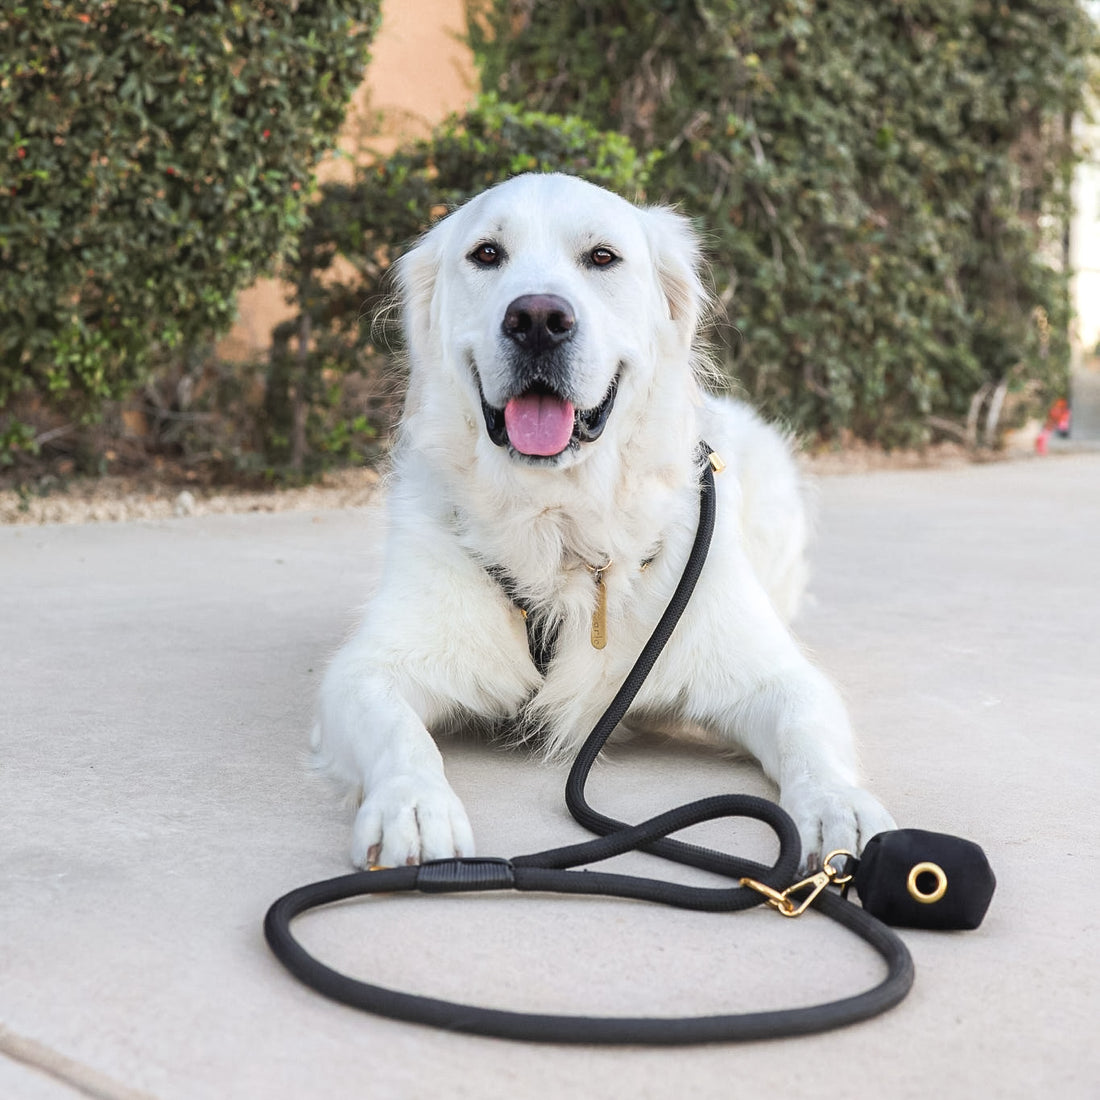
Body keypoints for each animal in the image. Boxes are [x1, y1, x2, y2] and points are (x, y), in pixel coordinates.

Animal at [314, 176, 897, 871]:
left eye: (601, 257)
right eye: (487, 254)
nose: (537, 319)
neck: (563, 526)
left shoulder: (769, 673)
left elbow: (807, 727)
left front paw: (841, 808)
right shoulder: (370, 668)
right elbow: (400, 734)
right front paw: (414, 806)